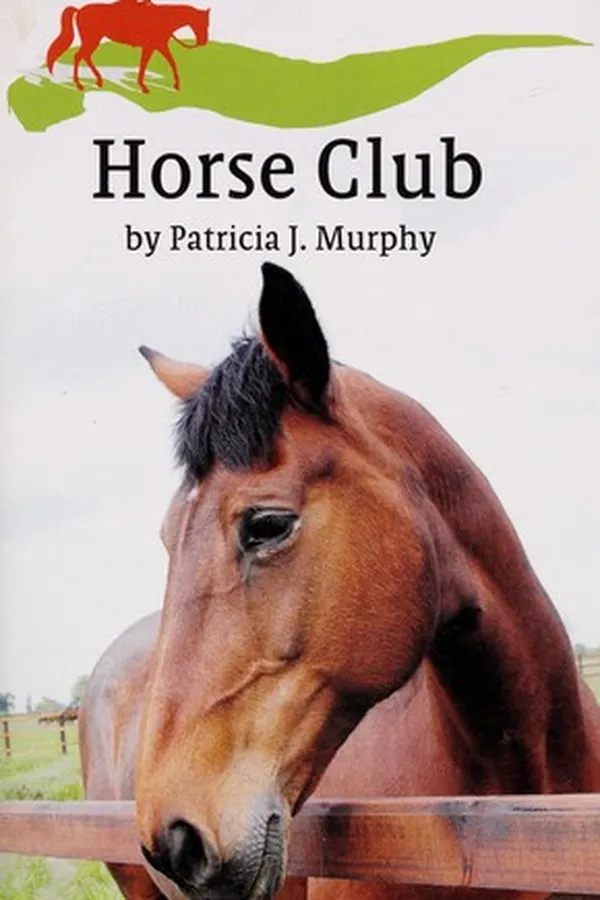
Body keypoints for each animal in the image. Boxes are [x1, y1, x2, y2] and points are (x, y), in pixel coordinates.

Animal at [46, 1, 210, 93]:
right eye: (201, 23)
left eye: (207, 24)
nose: (203, 42)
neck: (161, 18)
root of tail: (80, 10)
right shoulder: (150, 47)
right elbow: (144, 64)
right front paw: (144, 87)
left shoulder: (160, 46)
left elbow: (171, 62)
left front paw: (176, 85)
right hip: (92, 40)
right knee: (79, 56)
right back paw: (80, 85)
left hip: (93, 40)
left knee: (85, 56)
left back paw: (98, 81)